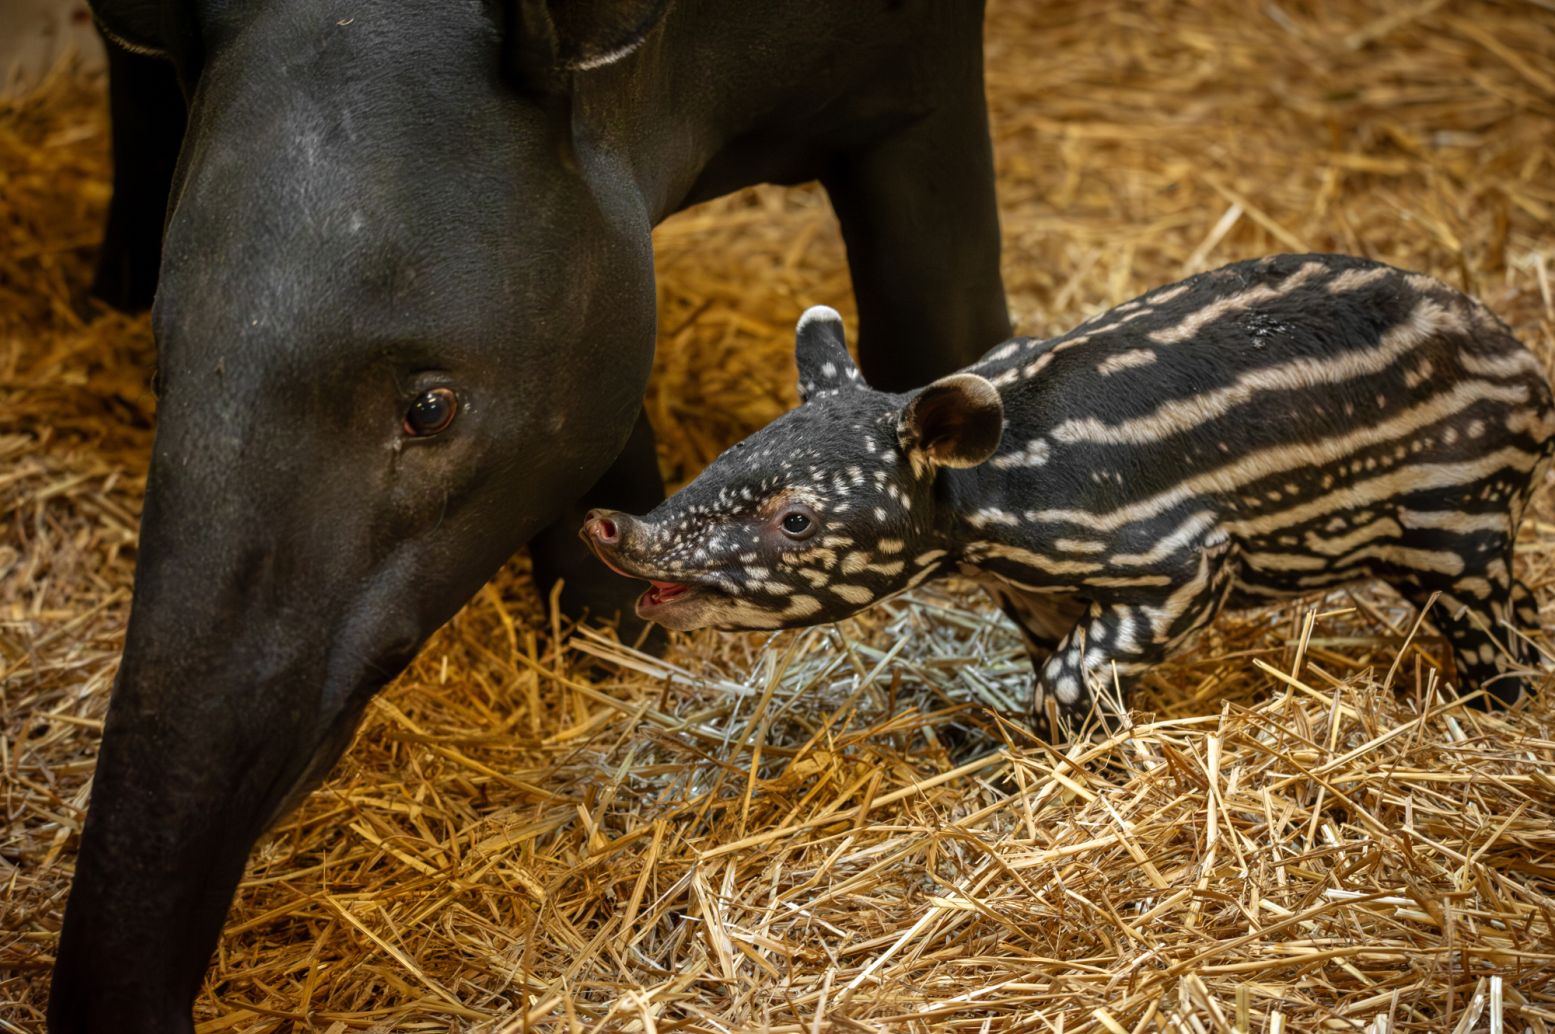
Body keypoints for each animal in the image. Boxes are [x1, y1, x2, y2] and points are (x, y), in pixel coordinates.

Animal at [584, 253, 1555, 730]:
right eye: (728, 452)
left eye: (795, 520)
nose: (610, 528)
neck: (1000, 494)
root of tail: (1528, 375)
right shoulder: (1036, 590)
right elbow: (1054, 664)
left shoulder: (1181, 559)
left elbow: (1068, 679)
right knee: (1521, 604)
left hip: (1454, 512)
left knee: (1490, 632)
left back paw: (1493, 711)